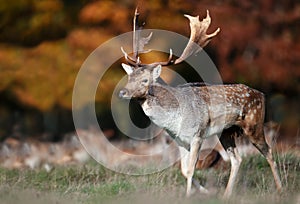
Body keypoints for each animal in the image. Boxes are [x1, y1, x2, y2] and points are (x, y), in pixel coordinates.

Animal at [118, 8, 282, 197]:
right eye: (130, 77)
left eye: (145, 80)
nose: (122, 92)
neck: (175, 118)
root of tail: (261, 94)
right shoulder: (179, 140)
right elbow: (183, 170)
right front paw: (204, 191)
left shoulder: (197, 134)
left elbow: (190, 169)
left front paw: (188, 196)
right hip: (226, 132)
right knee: (237, 159)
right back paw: (226, 195)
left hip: (254, 124)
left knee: (269, 152)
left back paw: (280, 189)